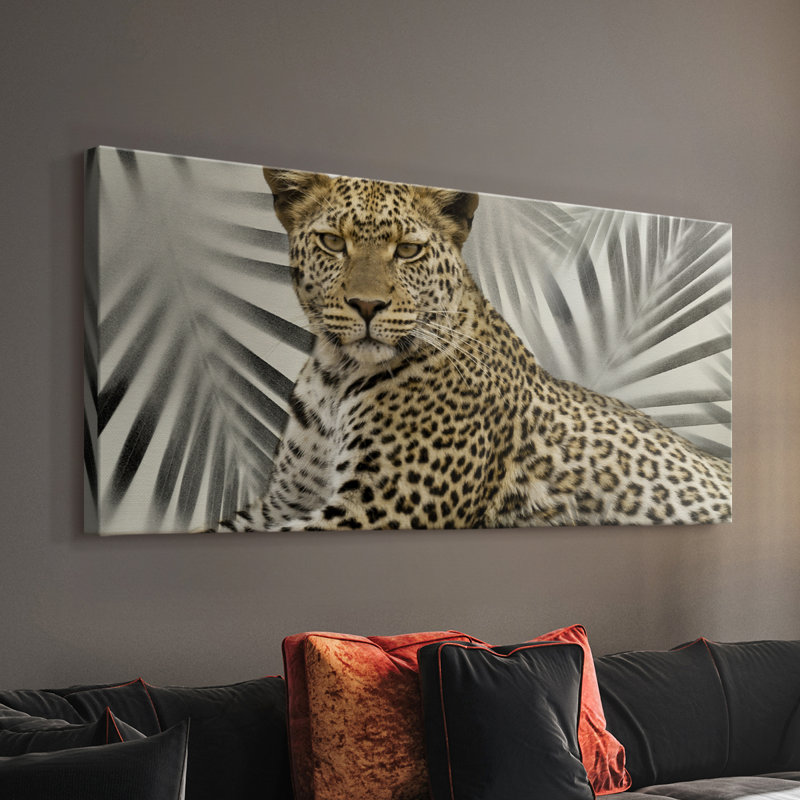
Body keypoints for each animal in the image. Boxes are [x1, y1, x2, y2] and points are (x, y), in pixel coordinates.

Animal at [217, 167, 731, 531]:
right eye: (331, 242)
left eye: (407, 250)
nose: (366, 305)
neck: (335, 375)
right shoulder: (282, 503)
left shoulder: (379, 509)